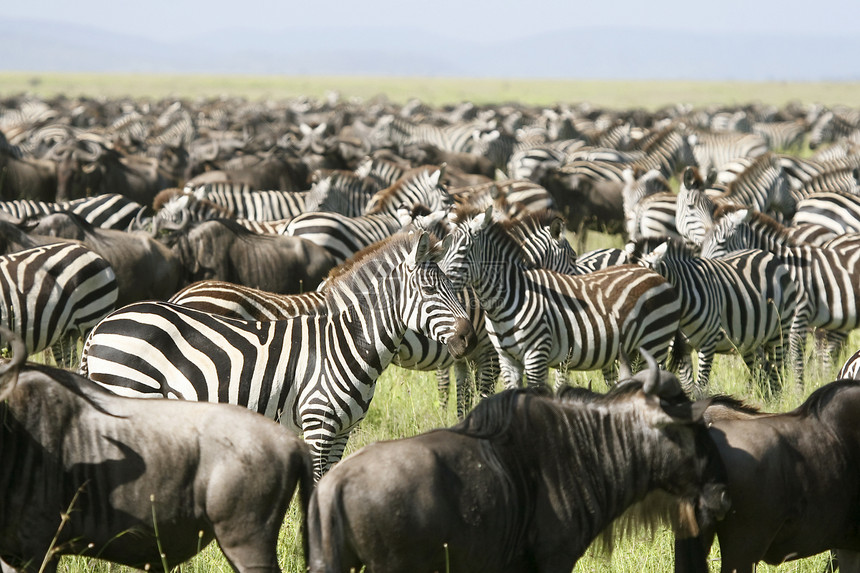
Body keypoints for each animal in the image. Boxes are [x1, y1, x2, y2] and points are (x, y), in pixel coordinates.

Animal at [79, 230, 478, 476]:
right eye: (430, 291)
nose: (469, 338)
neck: (348, 342)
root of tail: (103, 325)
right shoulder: (318, 426)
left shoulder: (343, 431)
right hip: (128, 391)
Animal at [440, 208, 680, 392]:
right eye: (444, 247)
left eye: (462, 250)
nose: (439, 275)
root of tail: (655, 274)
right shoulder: (507, 359)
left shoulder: (536, 355)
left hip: (655, 343)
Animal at [624, 237, 800, 394]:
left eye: (643, 283)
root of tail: (767, 254)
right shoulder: (681, 348)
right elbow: (688, 386)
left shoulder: (708, 342)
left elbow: (700, 387)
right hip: (750, 341)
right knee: (762, 371)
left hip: (780, 330)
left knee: (778, 371)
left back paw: (777, 403)